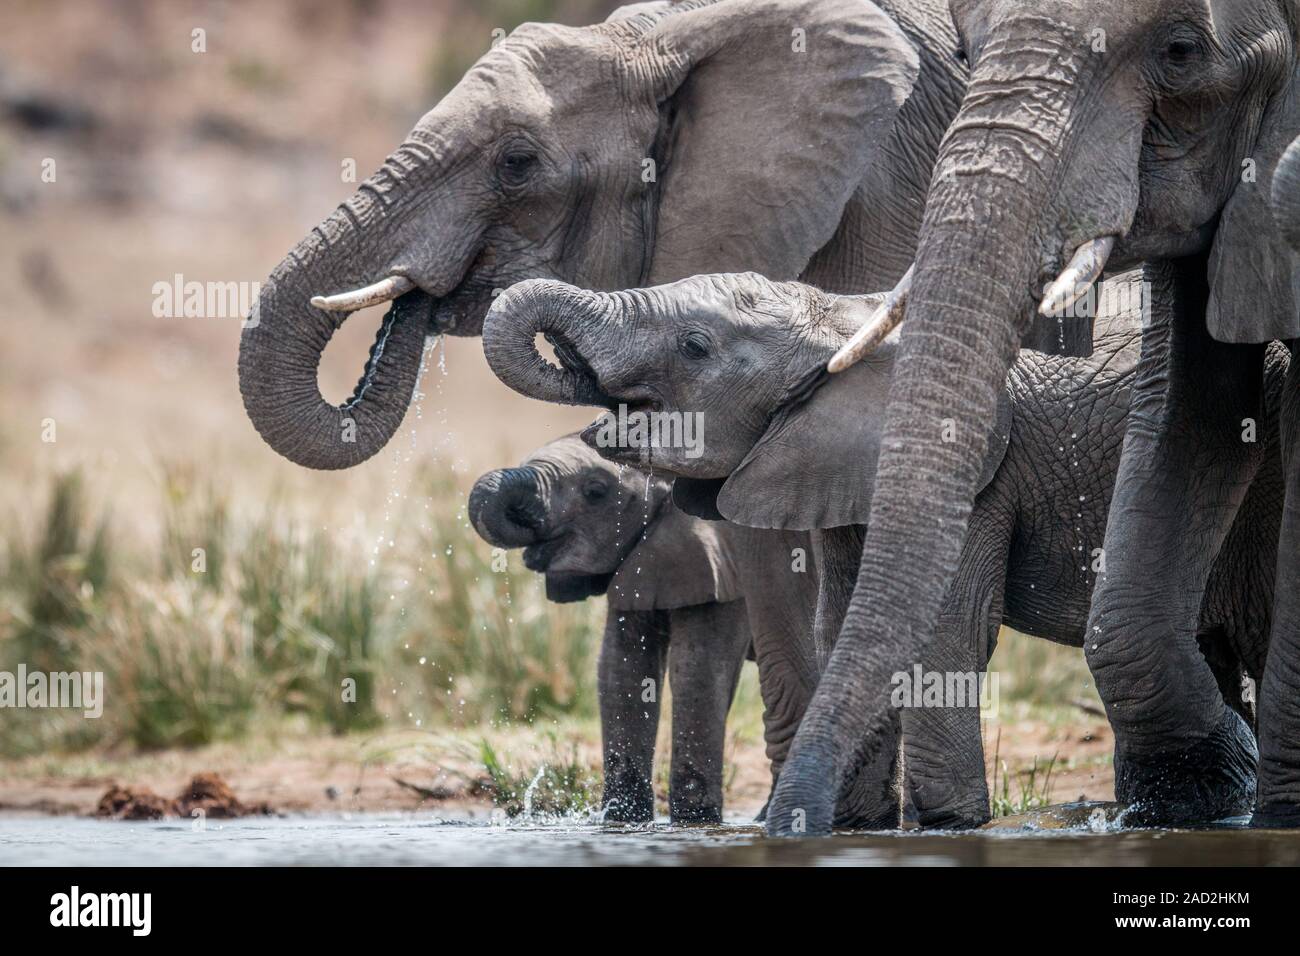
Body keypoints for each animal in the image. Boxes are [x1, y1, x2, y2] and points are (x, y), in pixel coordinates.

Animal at [467, 434, 816, 822]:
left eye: (596, 491)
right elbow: (622, 669)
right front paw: (623, 817)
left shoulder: (724, 564)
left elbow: (698, 670)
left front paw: (694, 820)